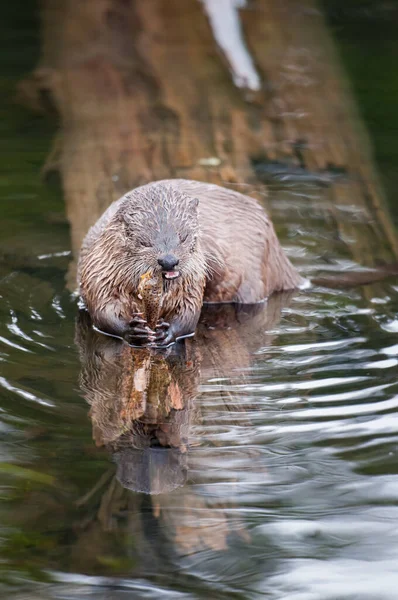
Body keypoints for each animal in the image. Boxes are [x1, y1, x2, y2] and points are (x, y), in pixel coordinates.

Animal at [77, 177, 304, 346]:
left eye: (184, 236)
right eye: (144, 241)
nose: (169, 260)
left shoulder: (194, 279)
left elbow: (189, 312)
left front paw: (167, 333)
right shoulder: (98, 271)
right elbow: (102, 309)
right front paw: (131, 331)